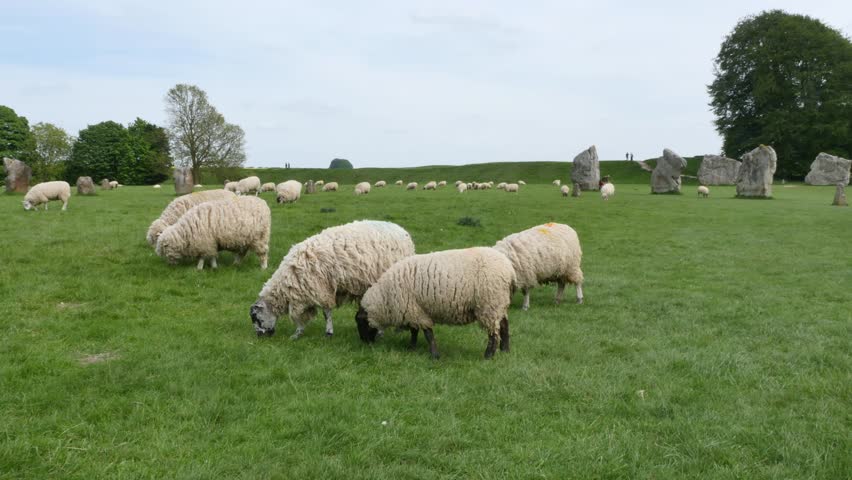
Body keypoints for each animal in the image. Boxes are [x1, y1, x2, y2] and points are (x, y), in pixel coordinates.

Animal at [250, 220, 416, 339]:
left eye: (256, 318)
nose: (259, 336)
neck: (287, 281)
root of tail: (403, 231)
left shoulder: (320, 290)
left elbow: (324, 313)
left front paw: (327, 332)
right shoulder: (306, 295)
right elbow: (305, 317)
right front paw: (299, 333)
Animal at [358, 247, 515, 359]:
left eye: (360, 322)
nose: (364, 343)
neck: (386, 296)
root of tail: (509, 269)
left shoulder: (415, 310)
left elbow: (428, 334)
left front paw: (434, 355)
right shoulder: (413, 310)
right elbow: (414, 331)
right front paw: (411, 347)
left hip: (489, 304)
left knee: (493, 333)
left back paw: (488, 355)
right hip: (499, 304)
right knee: (504, 325)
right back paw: (505, 350)